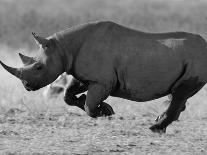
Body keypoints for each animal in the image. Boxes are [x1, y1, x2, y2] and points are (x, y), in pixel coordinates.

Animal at [0, 20, 206, 132]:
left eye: (38, 67)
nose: (26, 86)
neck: (63, 48)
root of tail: (205, 45)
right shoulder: (84, 75)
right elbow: (68, 95)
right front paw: (106, 109)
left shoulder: (103, 81)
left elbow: (90, 105)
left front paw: (105, 112)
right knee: (179, 94)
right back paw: (159, 123)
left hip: (196, 60)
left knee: (180, 93)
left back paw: (155, 128)